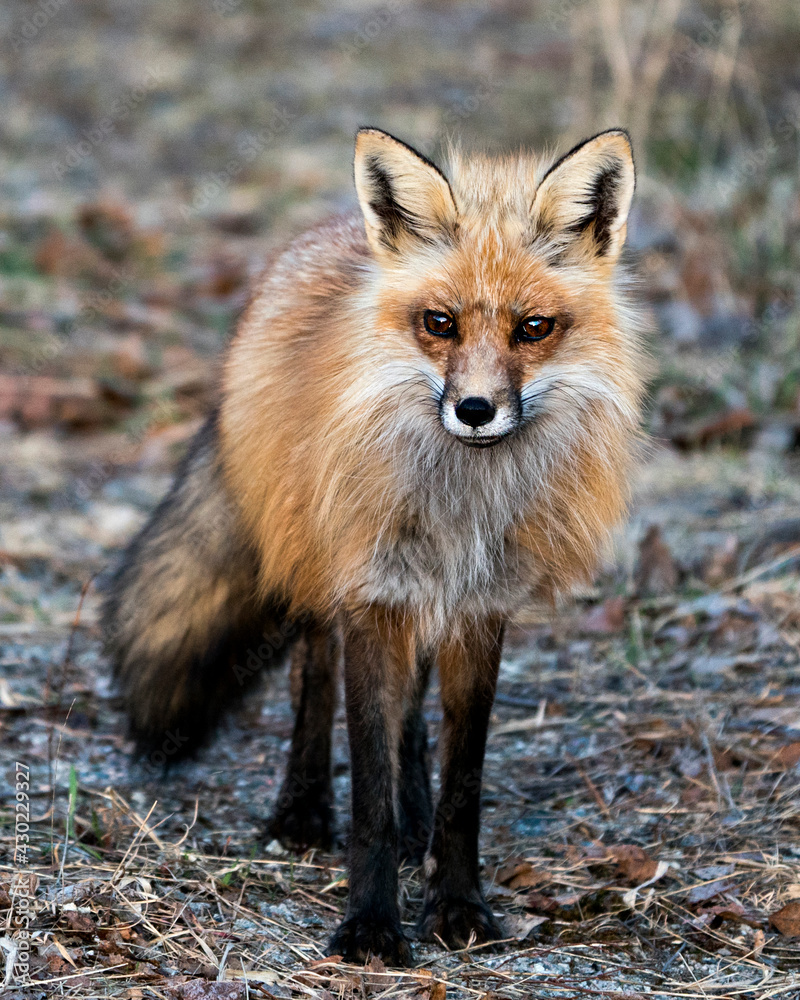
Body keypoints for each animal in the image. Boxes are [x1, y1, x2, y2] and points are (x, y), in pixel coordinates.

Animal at [104, 125, 644, 960]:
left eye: (533, 328)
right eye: (440, 323)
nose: (476, 410)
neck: (460, 504)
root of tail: (325, 231)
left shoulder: (477, 610)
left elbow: (460, 786)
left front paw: (455, 902)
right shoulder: (370, 597)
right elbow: (368, 789)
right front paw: (370, 923)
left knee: (411, 719)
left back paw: (412, 813)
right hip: (320, 564)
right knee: (312, 679)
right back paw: (300, 810)